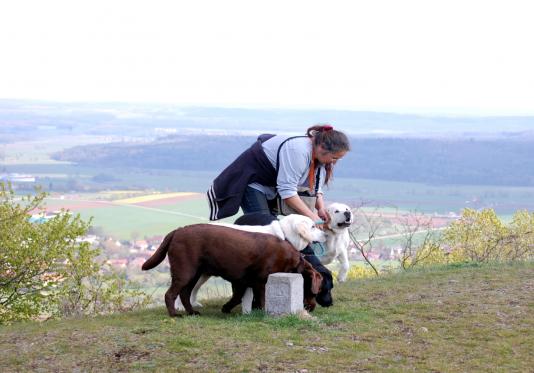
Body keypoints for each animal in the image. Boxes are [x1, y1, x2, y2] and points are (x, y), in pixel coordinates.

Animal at [142, 222, 322, 316]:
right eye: (315, 291)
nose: (312, 308)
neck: (293, 260)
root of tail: (177, 231)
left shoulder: (241, 281)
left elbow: (237, 297)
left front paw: (226, 308)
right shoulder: (259, 281)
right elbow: (261, 299)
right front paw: (263, 312)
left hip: (194, 274)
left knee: (185, 294)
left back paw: (192, 312)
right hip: (185, 272)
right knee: (170, 294)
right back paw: (174, 314)